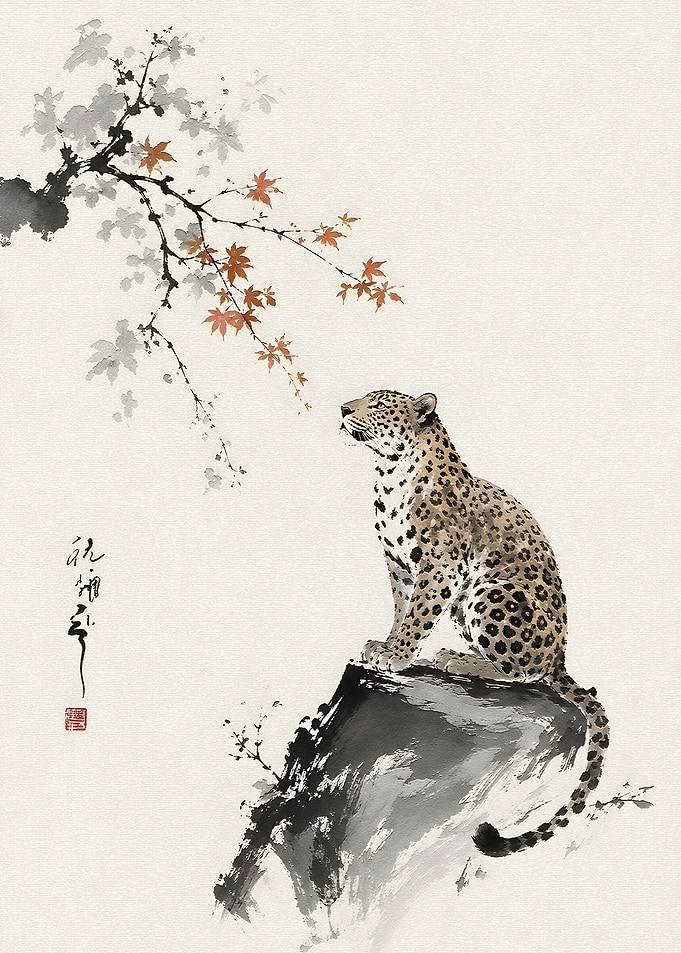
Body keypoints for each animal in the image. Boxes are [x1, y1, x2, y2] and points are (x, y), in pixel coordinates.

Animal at [340, 388, 609, 857]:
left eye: (378, 404)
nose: (341, 409)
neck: (388, 477)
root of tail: (560, 656)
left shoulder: (439, 566)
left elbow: (417, 614)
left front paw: (396, 655)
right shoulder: (398, 566)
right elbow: (401, 609)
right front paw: (385, 645)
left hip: (490, 593)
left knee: (522, 671)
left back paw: (459, 660)